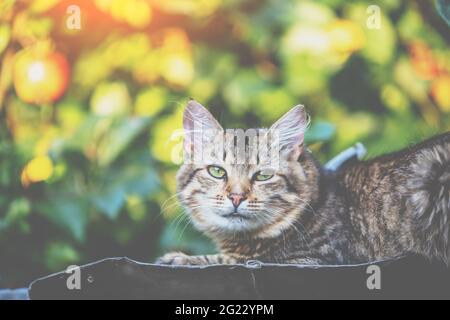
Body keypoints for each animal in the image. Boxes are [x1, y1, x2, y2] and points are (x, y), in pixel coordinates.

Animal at [156, 100, 448, 264]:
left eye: (263, 175)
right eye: (217, 171)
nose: (236, 197)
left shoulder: (314, 259)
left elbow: (228, 262)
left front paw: (179, 259)